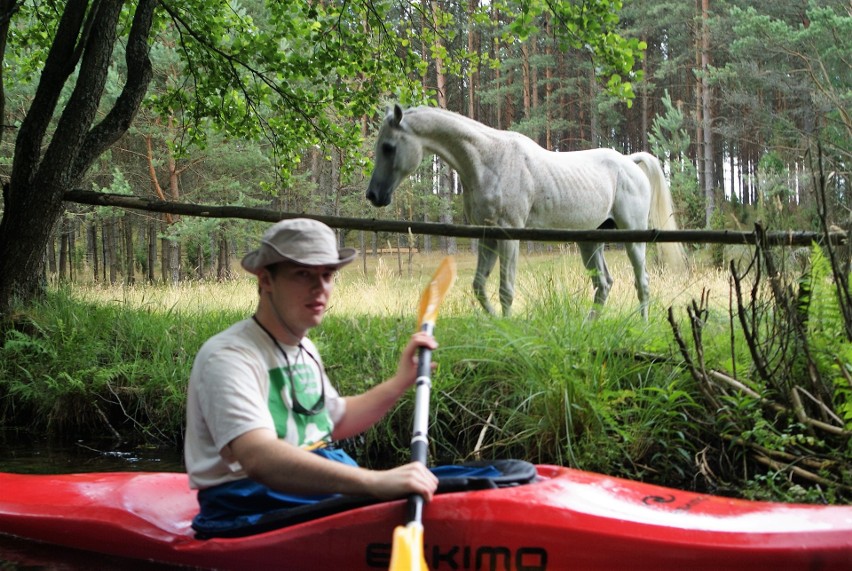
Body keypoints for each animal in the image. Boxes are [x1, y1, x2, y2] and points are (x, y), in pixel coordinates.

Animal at [366, 105, 684, 320]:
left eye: (388, 147)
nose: (373, 195)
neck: (488, 160)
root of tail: (630, 161)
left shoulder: (509, 234)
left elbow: (506, 289)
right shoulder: (487, 235)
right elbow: (479, 286)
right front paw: (496, 323)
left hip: (633, 236)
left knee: (641, 282)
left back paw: (642, 324)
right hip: (591, 241)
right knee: (603, 284)